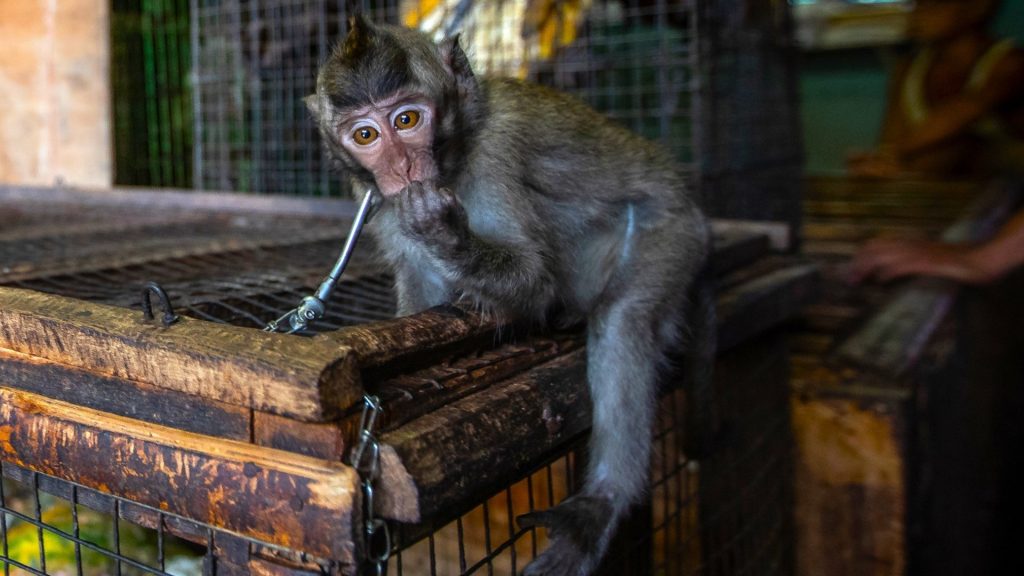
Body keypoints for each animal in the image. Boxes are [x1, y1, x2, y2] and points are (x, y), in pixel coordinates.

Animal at [306, 15, 714, 576]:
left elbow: (535, 280)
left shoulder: (494, 154)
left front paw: (447, 234)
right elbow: (422, 301)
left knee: (623, 318)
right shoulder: (376, 199)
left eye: (407, 120)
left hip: (672, 232)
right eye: (365, 134)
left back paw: (603, 501)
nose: (402, 169)